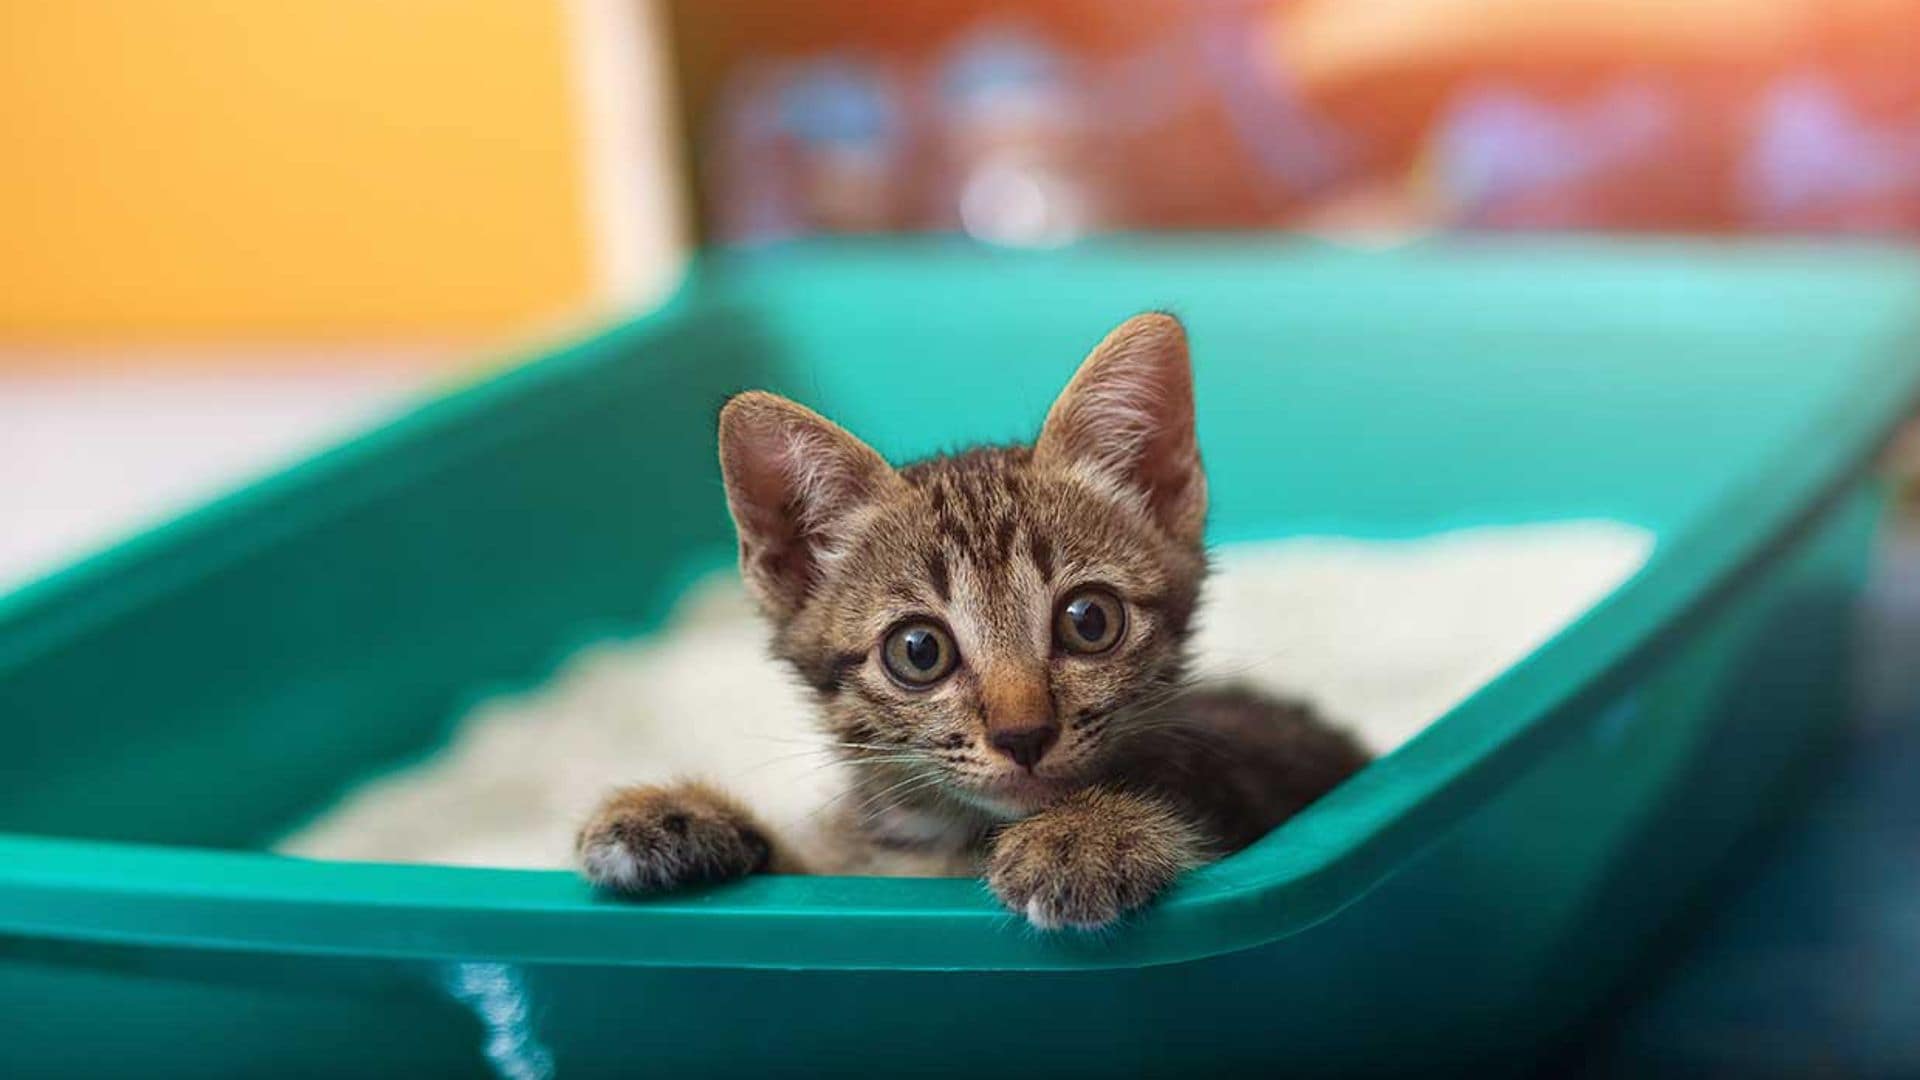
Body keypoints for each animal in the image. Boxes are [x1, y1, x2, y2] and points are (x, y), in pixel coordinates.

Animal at [576, 311, 1374, 926]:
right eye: (918, 650)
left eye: (1090, 620)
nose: (1024, 736)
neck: (959, 845)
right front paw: (679, 815)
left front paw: (1089, 833)